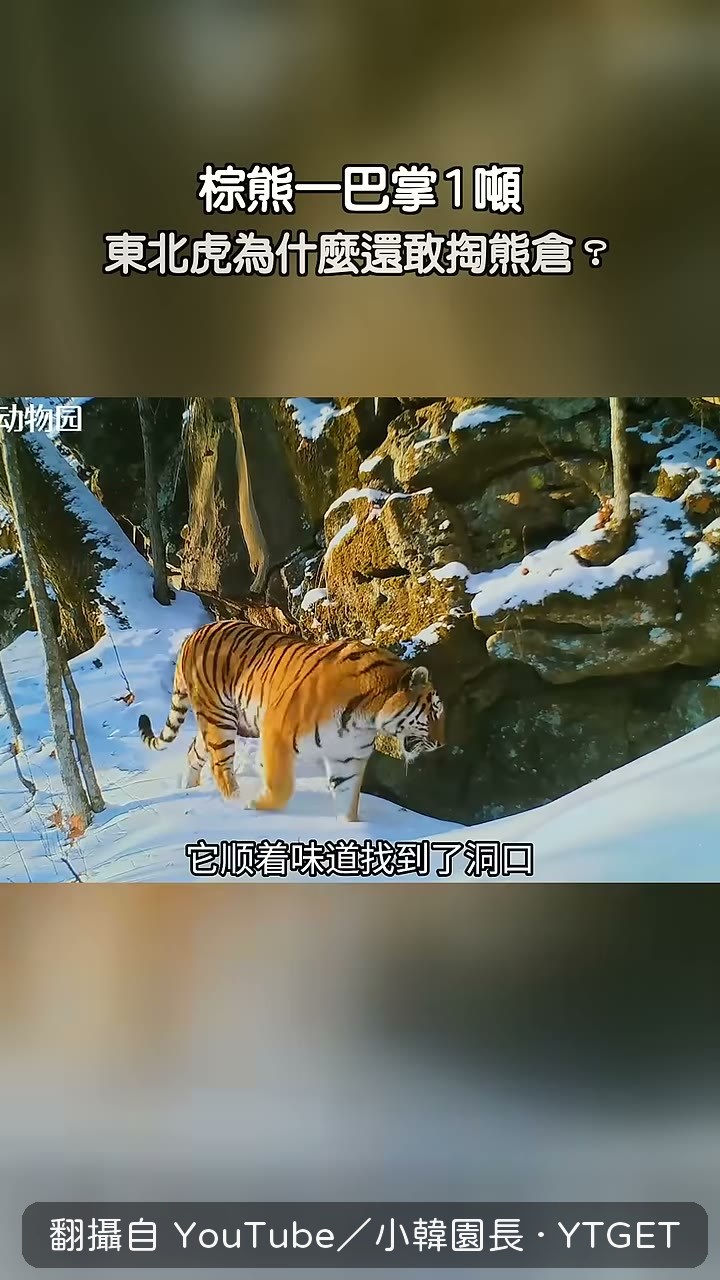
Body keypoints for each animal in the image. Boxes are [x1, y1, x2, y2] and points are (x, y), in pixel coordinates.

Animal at [137, 620, 445, 821]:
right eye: (434, 713)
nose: (442, 744)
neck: (366, 718)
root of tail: (192, 635)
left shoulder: (348, 758)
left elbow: (348, 801)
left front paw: (350, 830)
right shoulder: (277, 733)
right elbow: (281, 786)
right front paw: (254, 806)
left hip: (215, 721)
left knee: (195, 752)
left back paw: (189, 789)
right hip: (219, 719)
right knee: (221, 766)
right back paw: (235, 802)